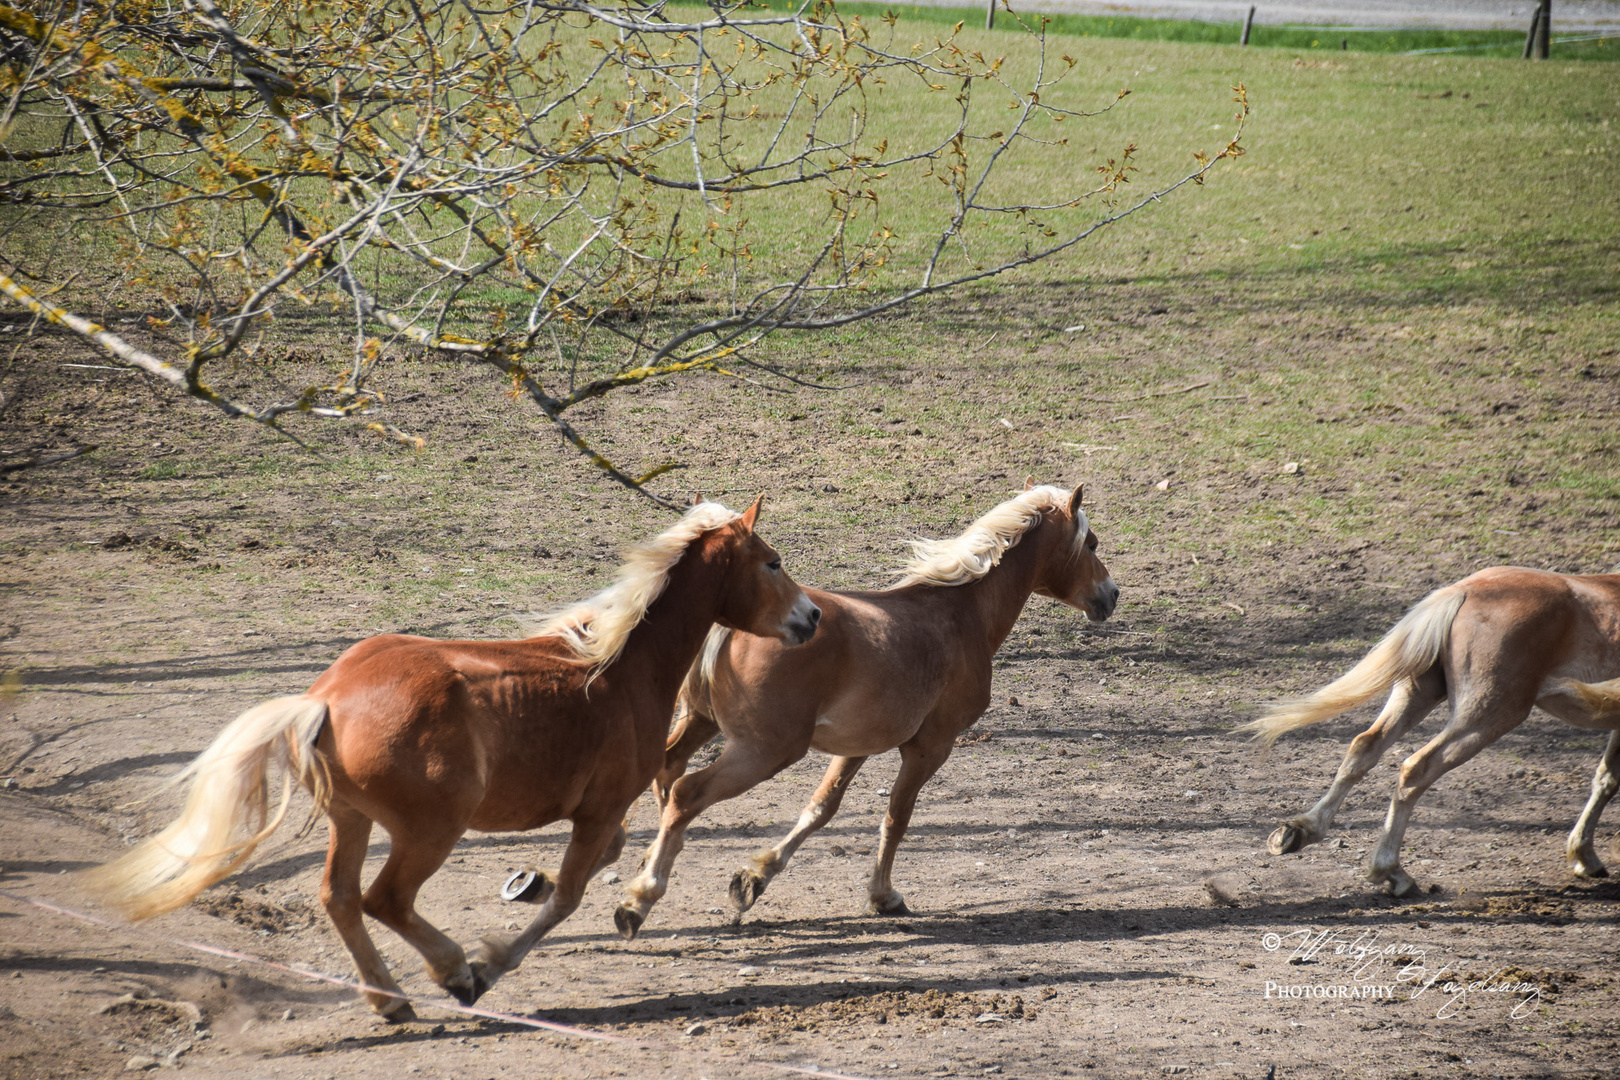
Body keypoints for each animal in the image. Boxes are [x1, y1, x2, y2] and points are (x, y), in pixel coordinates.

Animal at [609, 482, 1114, 939]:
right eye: (1090, 543)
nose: (1111, 595)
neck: (961, 611)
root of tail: (727, 625)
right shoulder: (930, 747)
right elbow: (896, 817)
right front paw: (883, 895)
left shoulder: (858, 746)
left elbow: (820, 808)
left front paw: (755, 878)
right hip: (765, 750)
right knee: (686, 792)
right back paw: (640, 899)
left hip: (702, 722)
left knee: (667, 770)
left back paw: (646, 858)